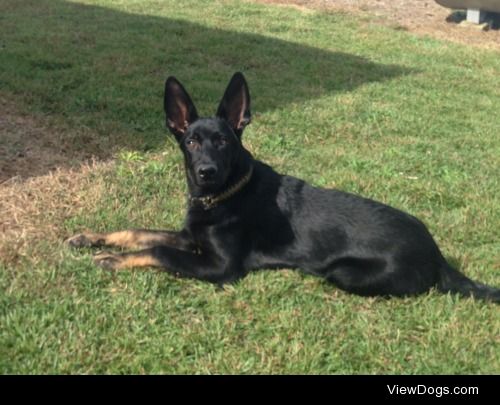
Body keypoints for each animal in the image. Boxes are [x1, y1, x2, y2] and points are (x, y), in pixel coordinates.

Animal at [67, 71, 500, 302]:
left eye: (223, 141)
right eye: (190, 142)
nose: (206, 172)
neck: (224, 196)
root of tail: (438, 254)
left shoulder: (220, 266)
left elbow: (157, 250)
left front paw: (112, 260)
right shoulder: (191, 238)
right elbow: (138, 231)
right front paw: (91, 237)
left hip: (343, 272)